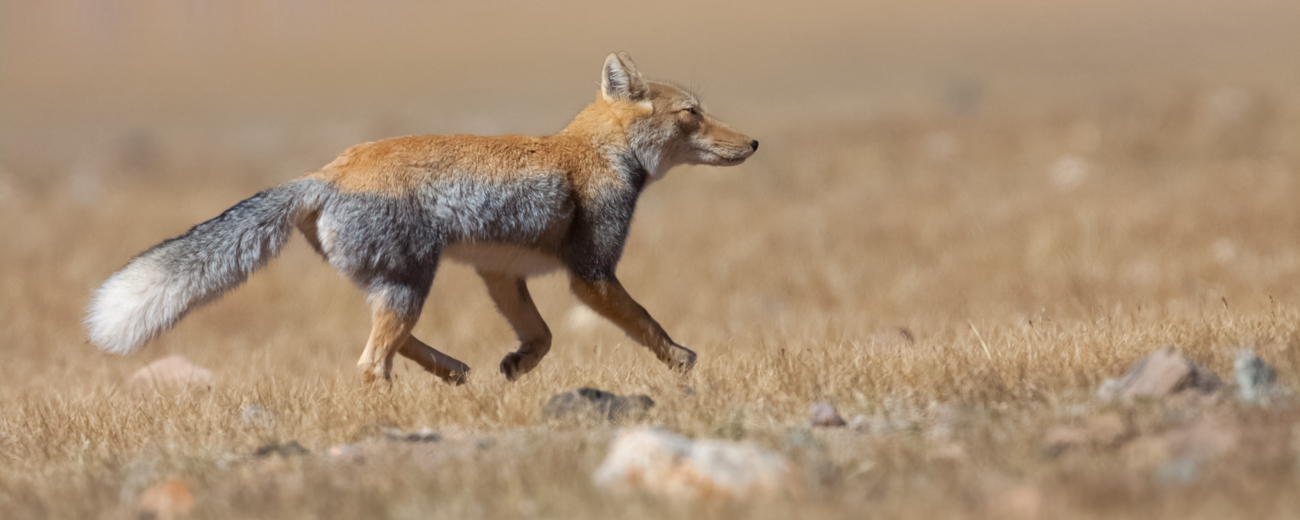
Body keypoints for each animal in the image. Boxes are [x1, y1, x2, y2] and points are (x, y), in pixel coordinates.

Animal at [86, 52, 759, 384]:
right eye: (693, 113)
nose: (753, 143)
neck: (591, 151)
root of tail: (326, 172)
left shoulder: (501, 274)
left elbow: (542, 336)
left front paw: (516, 366)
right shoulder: (591, 274)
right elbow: (648, 326)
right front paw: (683, 366)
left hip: (398, 282)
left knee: (392, 342)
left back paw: (454, 370)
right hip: (413, 280)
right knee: (372, 363)